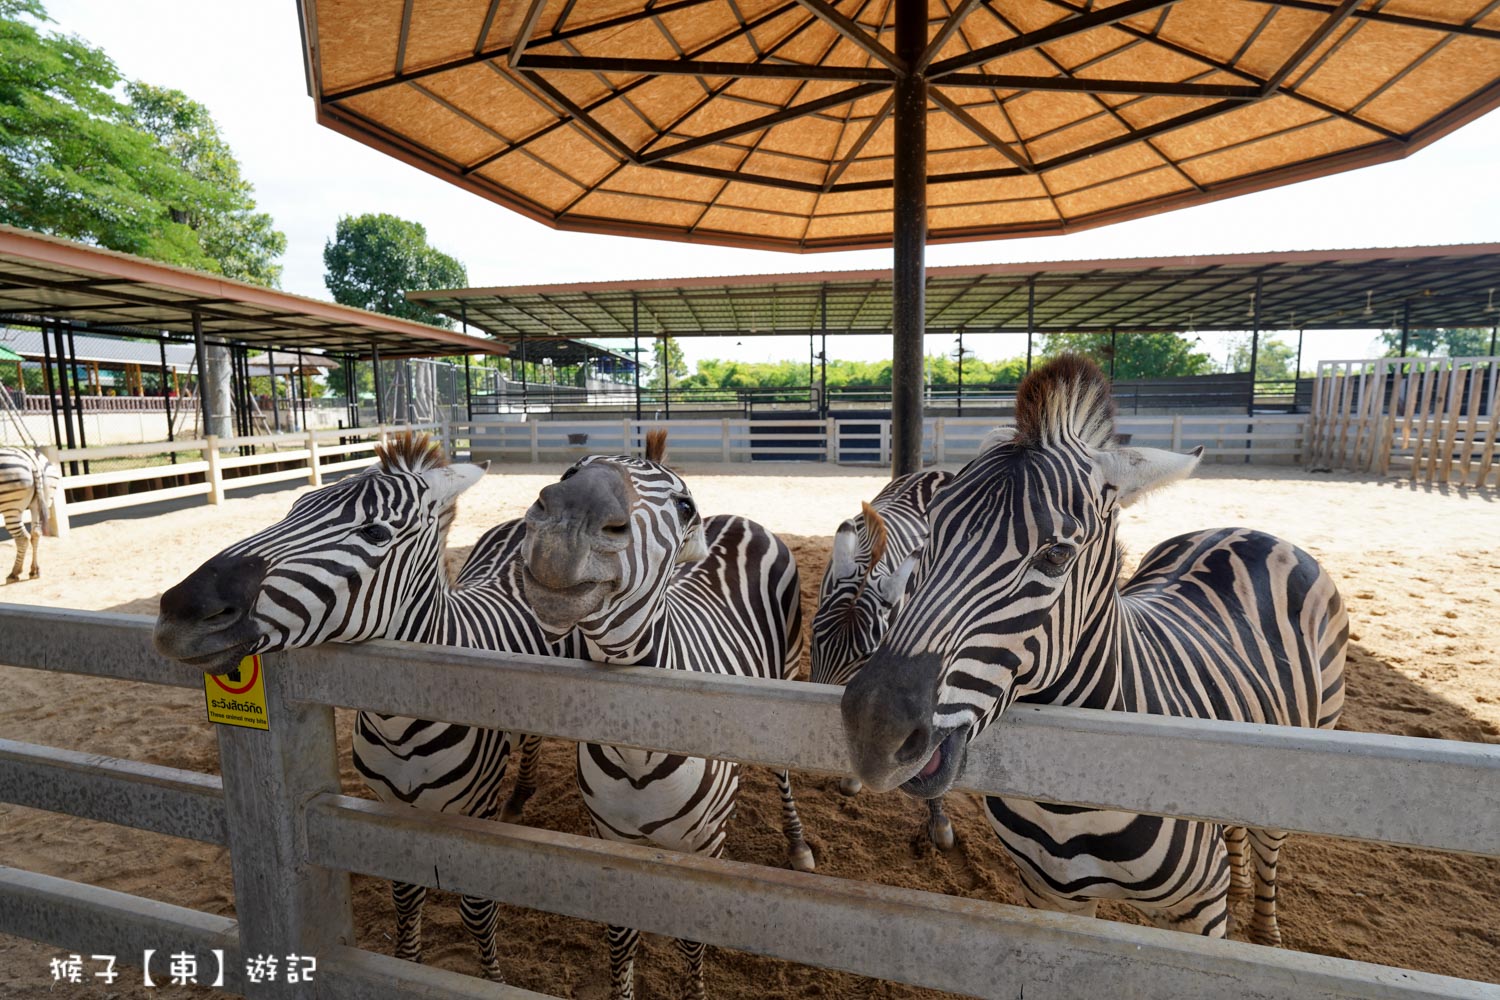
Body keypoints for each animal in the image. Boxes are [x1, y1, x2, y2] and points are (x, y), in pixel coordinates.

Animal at [0, 446, 59, 587]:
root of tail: (32, 459)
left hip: (11, 507)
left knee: (23, 537)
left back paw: (14, 573)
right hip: (40, 502)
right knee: (36, 533)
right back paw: (34, 571)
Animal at [155, 434, 561, 977]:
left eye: (374, 531)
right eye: (292, 508)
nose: (180, 611)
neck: (400, 727)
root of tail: (521, 521)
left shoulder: (475, 817)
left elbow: (478, 910)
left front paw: (491, 976)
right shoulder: (386, 813)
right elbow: (405, 896)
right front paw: (407, 960)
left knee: (534, 737)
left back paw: (523, 793)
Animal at [519, 431, 822, 1000]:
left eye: (683, 506)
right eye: (570, 471)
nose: (568, 523)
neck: (636, 753)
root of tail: (739, 518)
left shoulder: (703, 849)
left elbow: (691, 939)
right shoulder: (609, 841)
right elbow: (621, 940)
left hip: (787, 674)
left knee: (782, 768)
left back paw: (796, 844)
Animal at [846, 358, 1350, 947]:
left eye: (1057, 555)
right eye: (929, 534)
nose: (872, 734)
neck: (1069, 804)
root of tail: (1245, 529)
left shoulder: (1197, 914)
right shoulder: (1050, 896)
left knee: (1271, 845)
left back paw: (1266, 933)